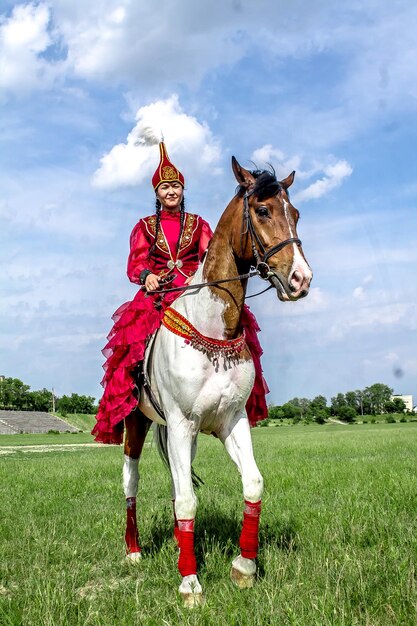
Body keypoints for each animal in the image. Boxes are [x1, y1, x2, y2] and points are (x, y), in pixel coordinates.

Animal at [122, 156, 310, 604]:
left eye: (295, 213)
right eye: (263, 211)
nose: (301, 279)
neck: (214, 330)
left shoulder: (230, 422)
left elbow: (252, 484)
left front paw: (244, 567)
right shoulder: (179, 424)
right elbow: (187, 502)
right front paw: (190, 583)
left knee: (177, 485)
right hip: (137, 425)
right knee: (131, 483)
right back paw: (134, 551)